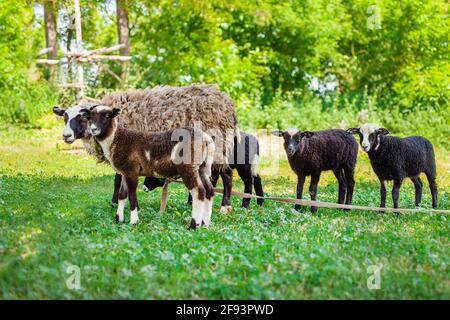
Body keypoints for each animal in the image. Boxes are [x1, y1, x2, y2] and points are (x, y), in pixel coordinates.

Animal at [53, 84, 239, 214]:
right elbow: (118, 179)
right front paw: (115, 203)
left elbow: (119, 179)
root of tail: (228, 104)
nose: (66, 136)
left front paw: (118, 203)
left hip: (218, 143)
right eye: (65, 117)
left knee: (226, 173)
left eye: (82, 117)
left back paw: (225, 206)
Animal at [81, 105, 216, 228]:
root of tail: (206, 139)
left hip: (188, 167)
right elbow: (122, 195)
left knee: (199, 192)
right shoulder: (125, 172)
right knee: (209, 190)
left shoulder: (132, 170)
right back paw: (205, 223)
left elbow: (132, 195)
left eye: (107, 116)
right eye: (90, 116)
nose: (93, 129)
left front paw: (134, 221)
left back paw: (194, 225)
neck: (116, 139)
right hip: (202, 167)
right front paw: (118, 219)